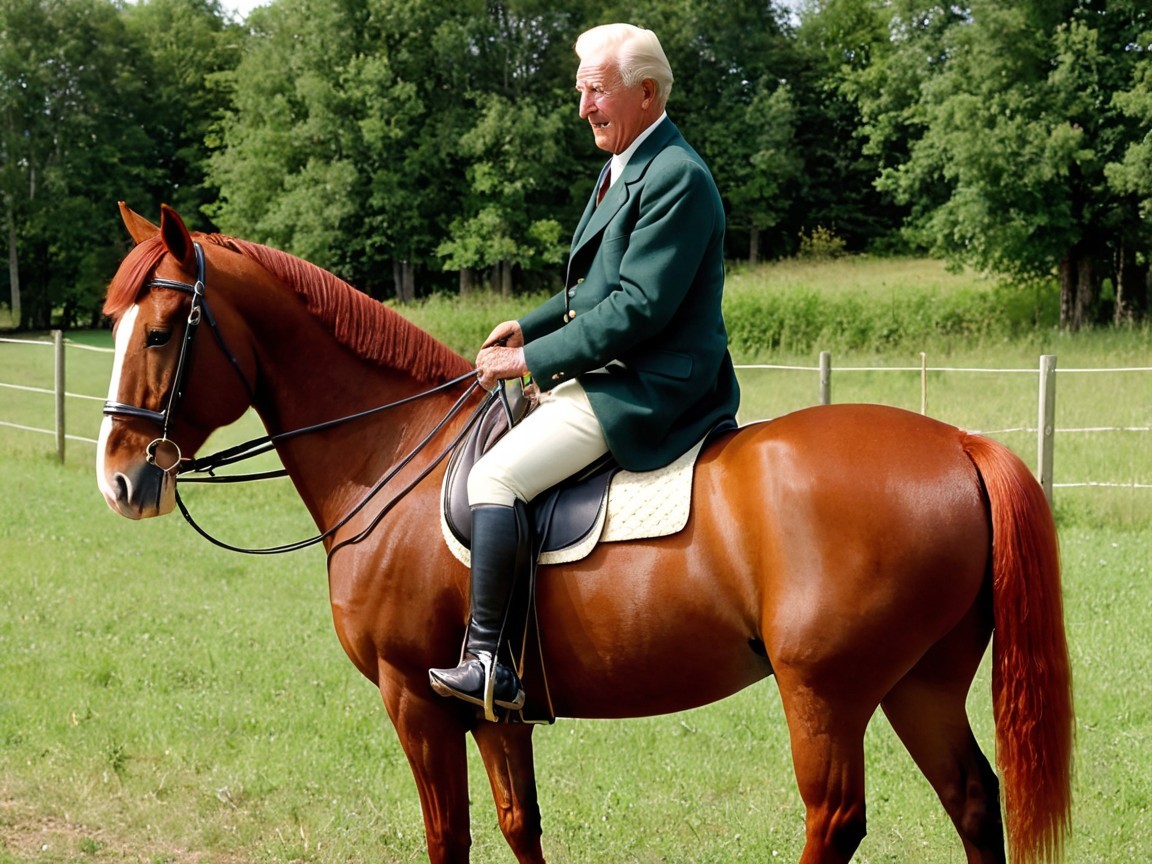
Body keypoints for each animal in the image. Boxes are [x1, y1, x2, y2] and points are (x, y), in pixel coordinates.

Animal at [97, 203, 1073, 864]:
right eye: (112, 325)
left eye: (162, 331)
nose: (121, 480)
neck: (390, 454)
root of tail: (959, 442)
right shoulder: (492, 707)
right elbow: (518, 824)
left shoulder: (415, 699)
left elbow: (448, 837)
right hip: (920, 683)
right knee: (973, 801)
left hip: (826, 692)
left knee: (836, 821)